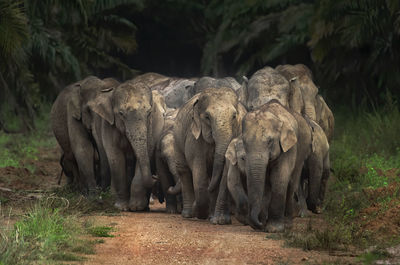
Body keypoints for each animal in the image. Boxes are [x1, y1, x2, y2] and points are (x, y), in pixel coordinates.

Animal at [87, 79, 167, 210]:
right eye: (121, 114)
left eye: (149, 113)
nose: (155, 177)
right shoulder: (108, 126)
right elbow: (116, 158)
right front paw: (122, 207)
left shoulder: (152, 126)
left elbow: (145, 154)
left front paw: (136, 207)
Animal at [173, 86, 245, 219]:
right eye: (207, 117)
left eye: (234, 116)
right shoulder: (194, 137)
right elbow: (198, 170)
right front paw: (200, 213)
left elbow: (225, 174)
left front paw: (219, 220)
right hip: (177, 138)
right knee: (183, 170)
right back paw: (188, 214)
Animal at [241, 99, 312, 231]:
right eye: (244, 142)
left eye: (270, 141)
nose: (259, 224)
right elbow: (263, 181)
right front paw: (264, 224)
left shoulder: (289, 147)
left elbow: (279, 178)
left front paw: (274, 229)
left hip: (302, 152)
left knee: (292, 182)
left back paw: (288, 224)